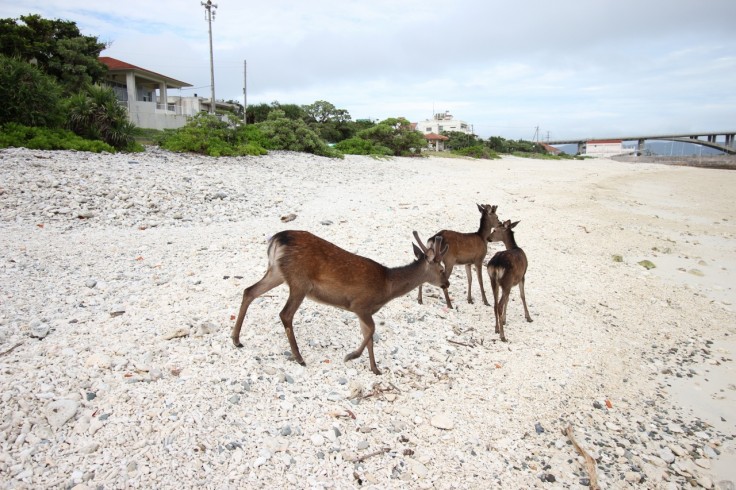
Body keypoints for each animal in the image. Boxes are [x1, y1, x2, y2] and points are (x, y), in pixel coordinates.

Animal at [230, 230, 448, 376]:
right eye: (442, 269)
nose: (447, 283)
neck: (387, 287)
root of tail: (278, 238)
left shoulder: (364, 311)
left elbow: (368, 336)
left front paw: (375, 369)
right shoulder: (360, 304)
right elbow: (371, 331)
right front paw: (351, 356)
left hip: (277, 272)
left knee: (249, 291)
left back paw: (236, 339)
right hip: (299, 281)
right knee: (285, 313)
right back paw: (299, 358)